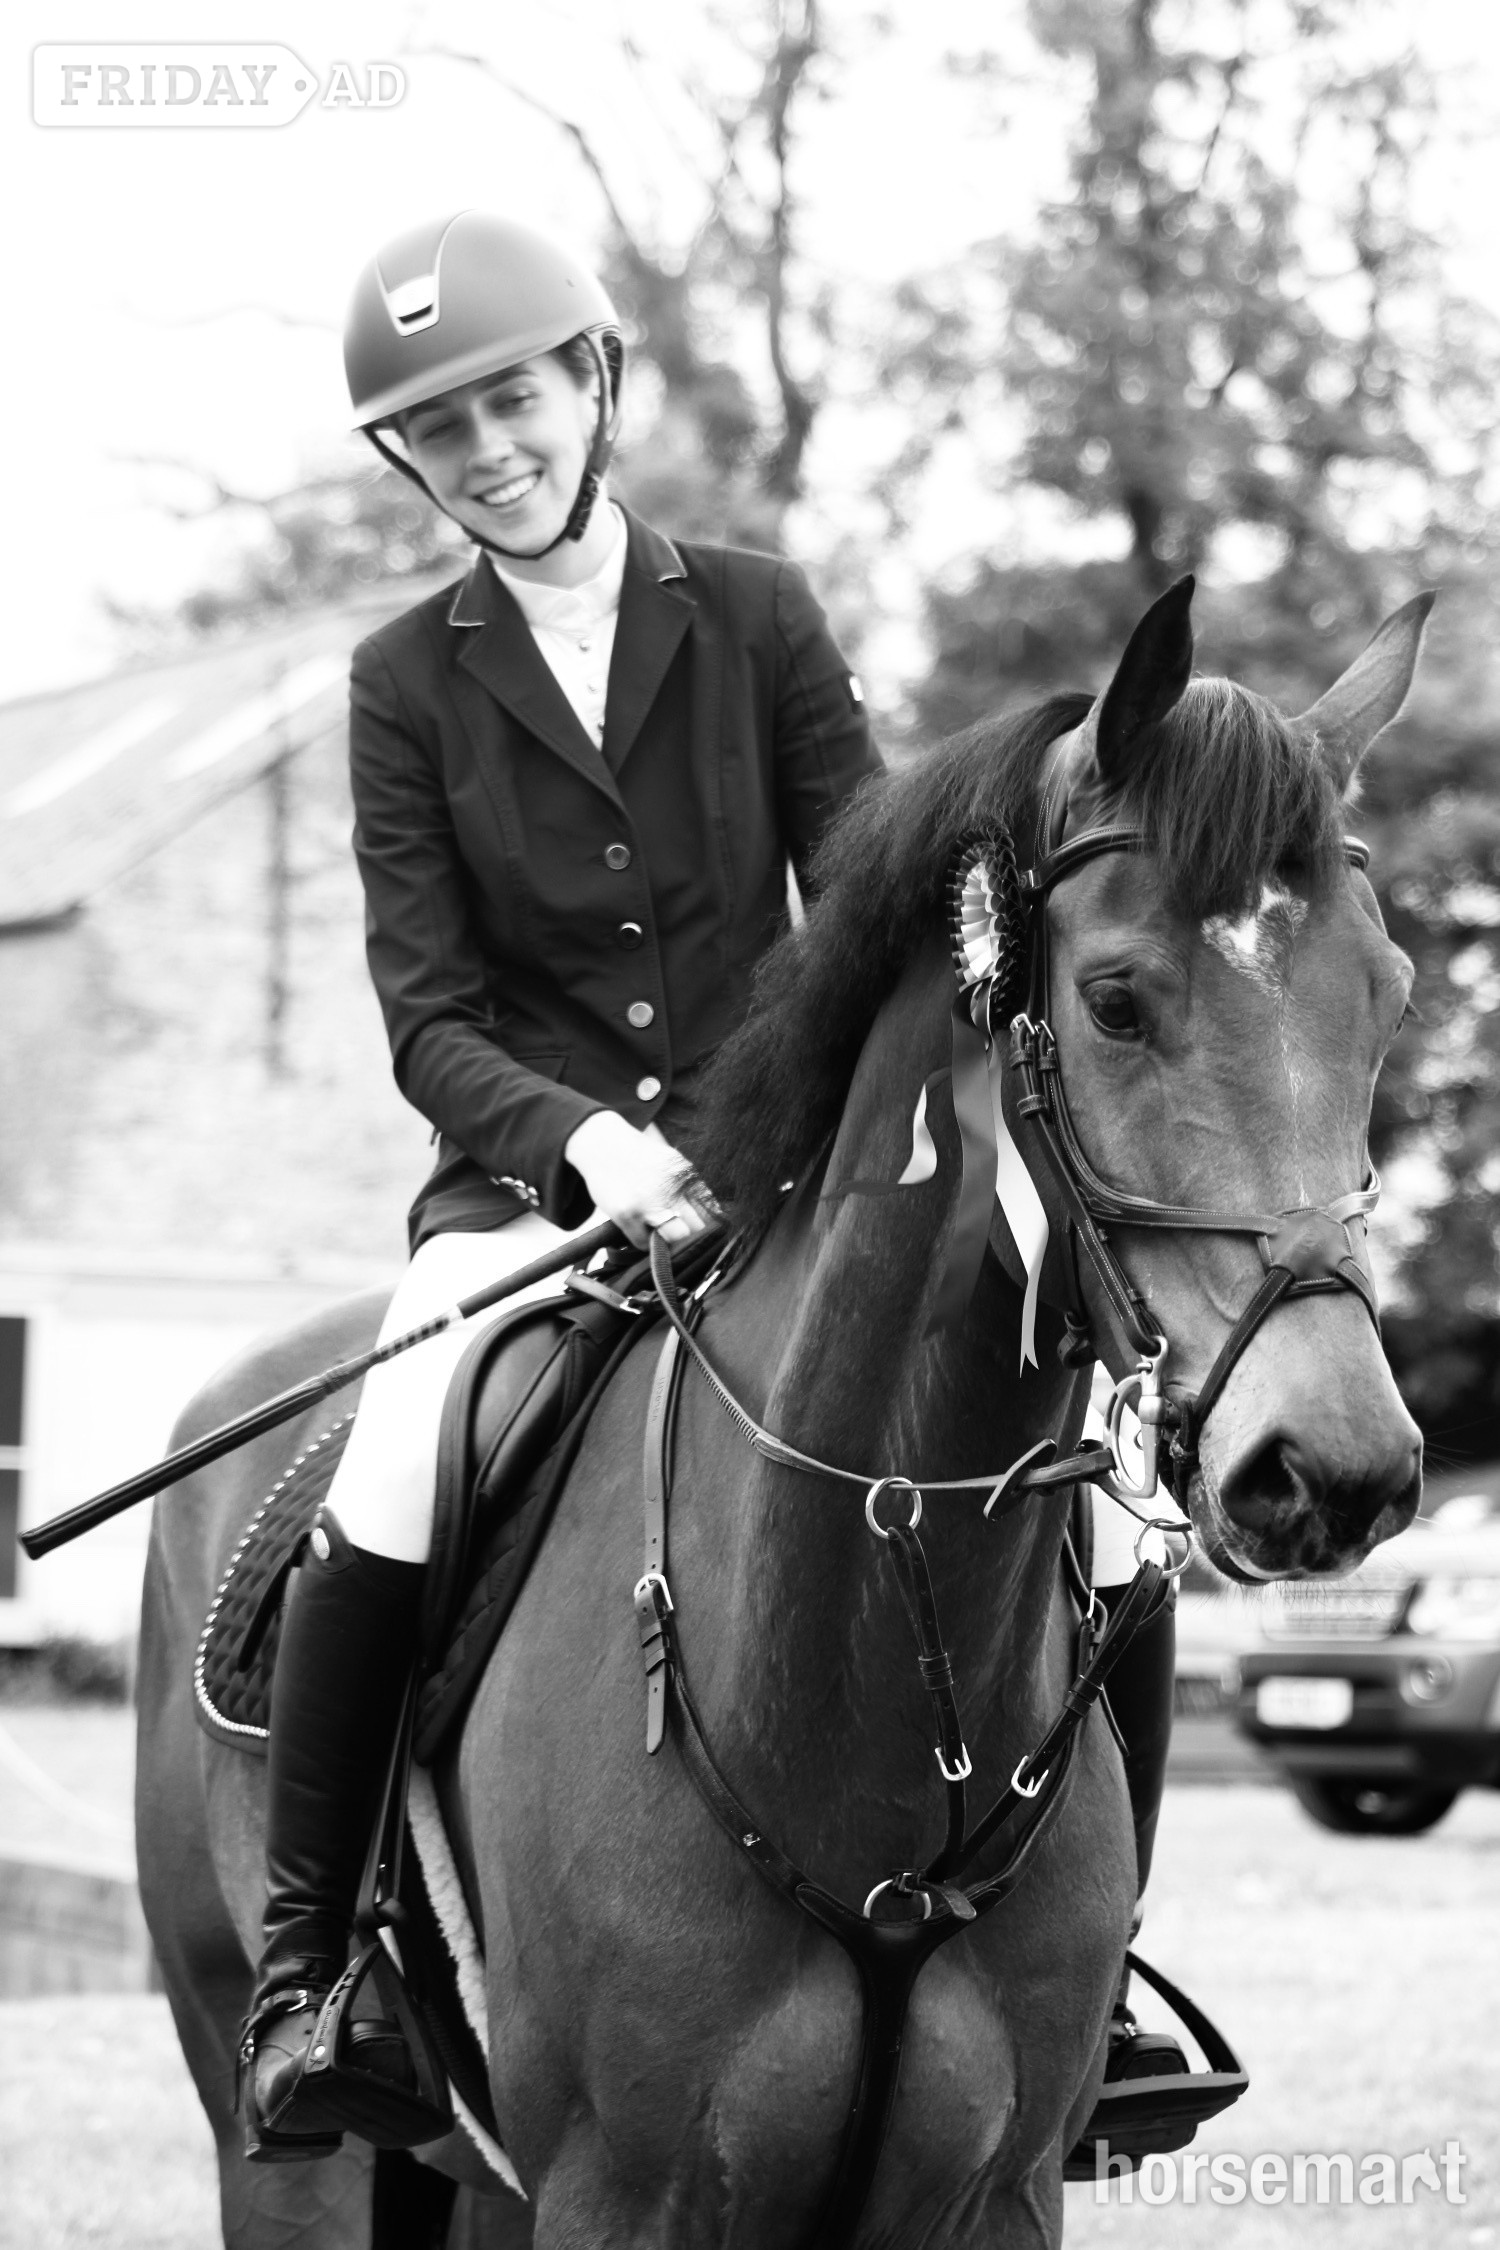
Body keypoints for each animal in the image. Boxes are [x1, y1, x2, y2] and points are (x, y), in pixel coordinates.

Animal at [136, 579, 1426, 2247]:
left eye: (1388, 998)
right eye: (1116, 1000)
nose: (1336, 1470)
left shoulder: (1000, 2194)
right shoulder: (620, 2195)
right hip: (281, 2141)